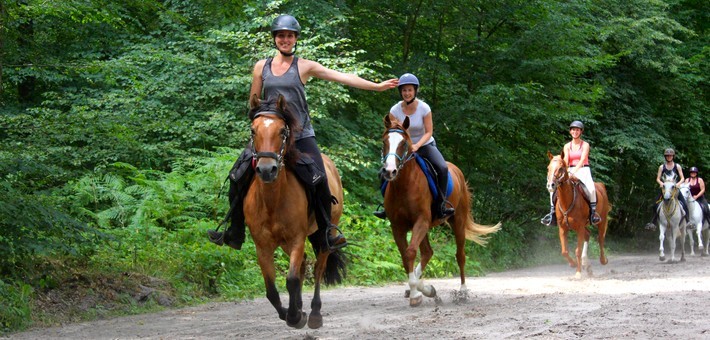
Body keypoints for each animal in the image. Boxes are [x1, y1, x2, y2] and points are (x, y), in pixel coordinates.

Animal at [243, 94, 346, 328]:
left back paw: (314, 313)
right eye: (253, 130)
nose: (266, 170)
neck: (272, 201)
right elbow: (271, 290)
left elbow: (290, 280)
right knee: (303, 264)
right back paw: (299, 306)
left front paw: (295, 317)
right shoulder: (263, 246)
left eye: (283, 131)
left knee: (317, 267)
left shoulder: (297, 238)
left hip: (324, 233)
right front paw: (292, 313)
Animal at [382, 115, 504, 306]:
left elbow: (410, 252)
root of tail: (457, 171)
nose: (389, 171)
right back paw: (424, 288)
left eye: (403, 143)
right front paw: (419, 289)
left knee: (460, 255)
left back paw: (462, 292)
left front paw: (416, 293)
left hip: (457, 221)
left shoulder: (421, 221)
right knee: (427, 252)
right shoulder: (398, 227)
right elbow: (405, 256)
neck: (404, 185)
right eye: (384, 141)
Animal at [548, 150, 608, 278]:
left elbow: (577, 250)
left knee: (600, 238)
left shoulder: (579, 227)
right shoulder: (562, 228)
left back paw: (603, 260)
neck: (567, 201)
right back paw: (587, 265)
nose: (550, 185)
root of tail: (600, 186)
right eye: (548, 168)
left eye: (561, 168)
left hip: (602, 220)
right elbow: (564, 251)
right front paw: (573, 264)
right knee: (588, 235)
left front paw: (578, 272)